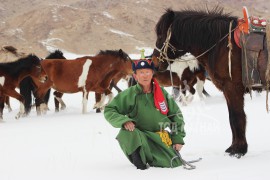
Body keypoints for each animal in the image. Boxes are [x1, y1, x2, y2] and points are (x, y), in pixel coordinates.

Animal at [153, 7, 268, 157]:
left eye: (161, 35)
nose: (154, 61)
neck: (222, 45)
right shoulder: (228, 90)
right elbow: (232, 118)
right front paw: (235, 147)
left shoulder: (232, 88)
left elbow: (237, 117)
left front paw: (238, 149)